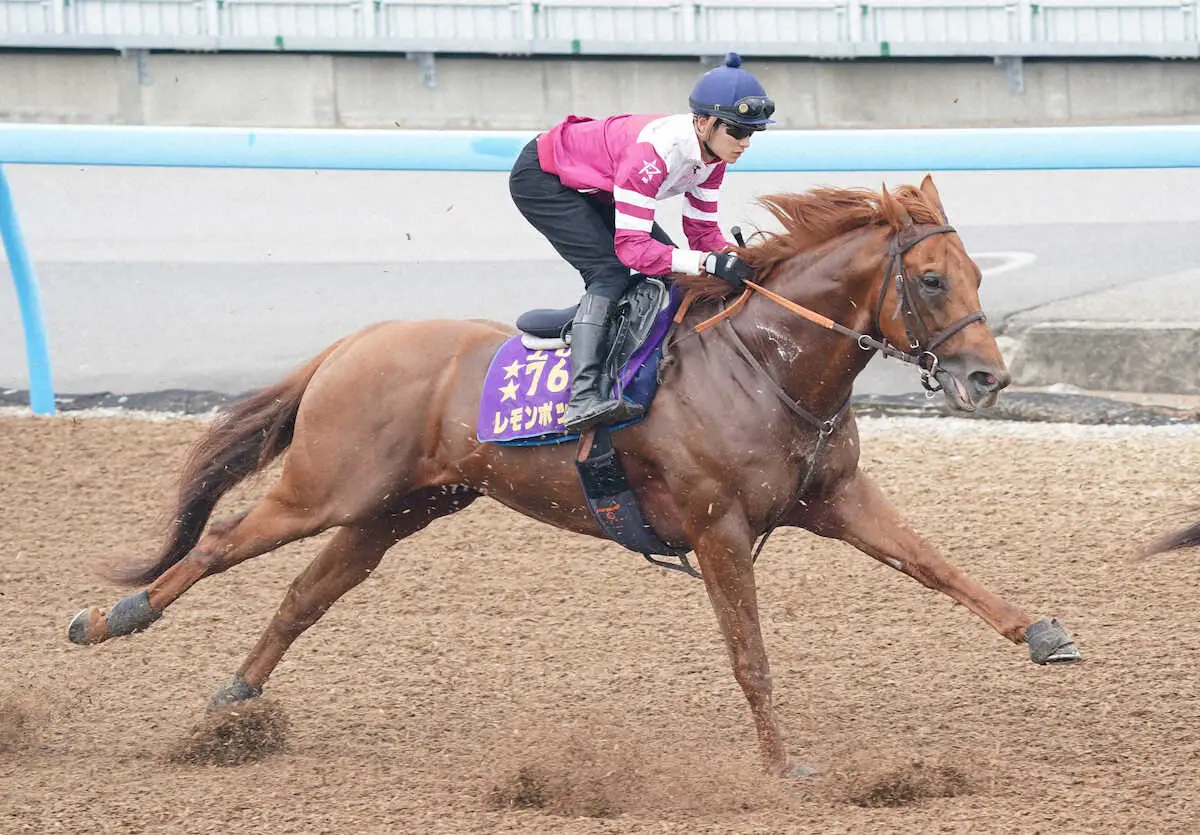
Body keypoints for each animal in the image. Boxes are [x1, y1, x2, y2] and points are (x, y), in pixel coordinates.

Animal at [65, 173, 1084, 777]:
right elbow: (750, 655)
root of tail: (356, 339)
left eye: (978, 273)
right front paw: (782, 764)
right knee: (221, 543)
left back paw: (234, 702)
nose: (988, 379)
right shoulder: (718, 529)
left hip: (399, 509)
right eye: (932, 281)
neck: (765, 363)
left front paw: (1044, 631)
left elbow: (937, 564)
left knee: (306, 594)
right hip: (325, 487)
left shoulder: (833, 498)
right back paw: (111, 617)